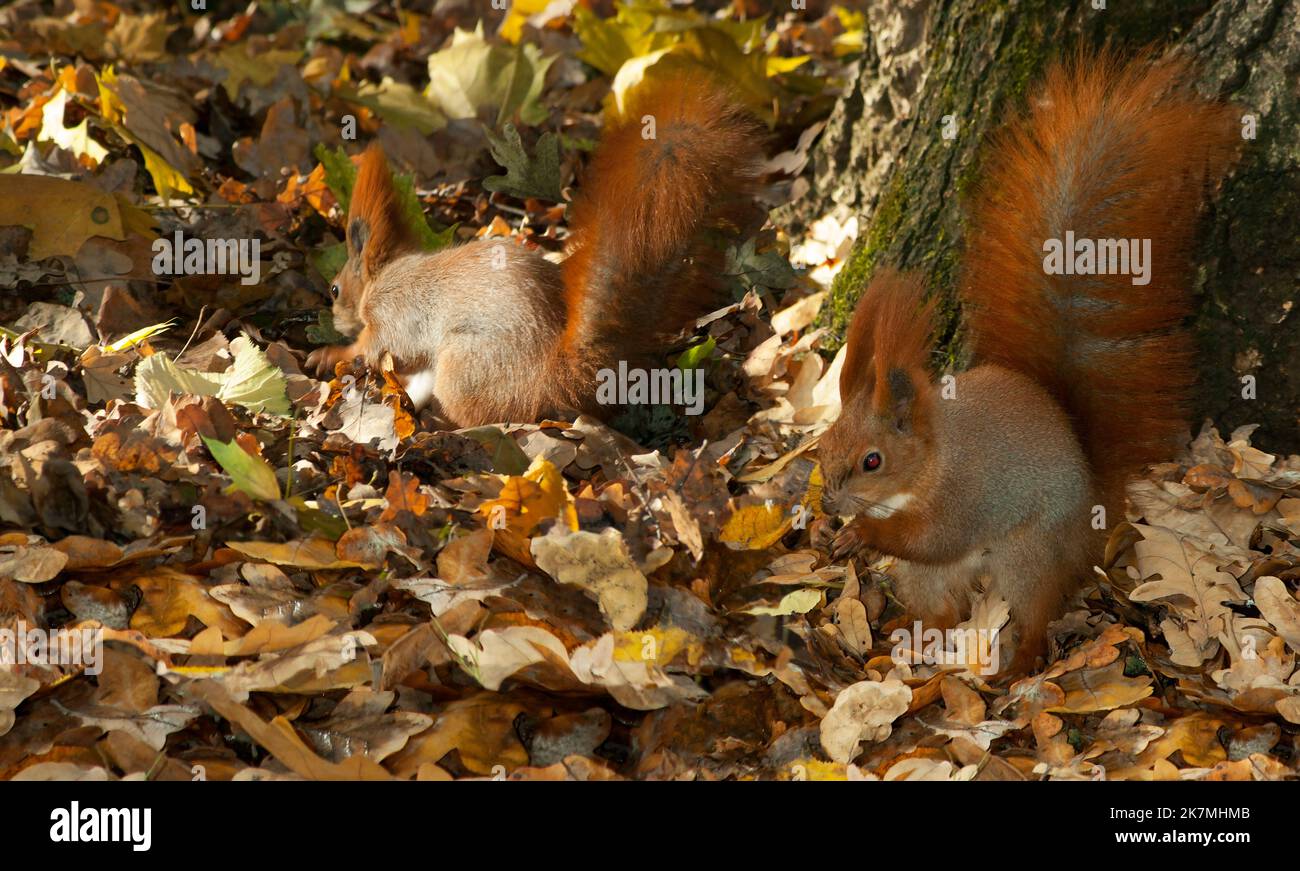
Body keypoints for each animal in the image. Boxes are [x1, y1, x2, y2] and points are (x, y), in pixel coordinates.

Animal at [306, 76, 759, 428]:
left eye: (334, 289)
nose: (333, 318)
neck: (384, 275)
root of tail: (553, 375)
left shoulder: (391, 316)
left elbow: (373, 348)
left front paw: (331, 354)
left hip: (464, 365)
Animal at [816, 51, 1242, 676]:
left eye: (873, 461)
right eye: (822, 444)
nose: (829, 502)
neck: (929, 463)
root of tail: (1095, 511)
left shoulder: (962, 500)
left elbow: (929, 539)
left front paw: (862, 535)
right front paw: (845, 534)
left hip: (1028, 553)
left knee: (1035, 610)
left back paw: (1019, 665)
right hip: (943, 579)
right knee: (941, 607)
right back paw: (903, 635)